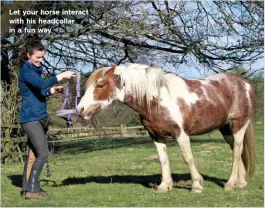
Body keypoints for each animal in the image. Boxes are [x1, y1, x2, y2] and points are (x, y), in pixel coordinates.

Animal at [76, 63, 254, 193]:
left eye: (100, 85)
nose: (80, 110)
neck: (157, 99)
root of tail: (245, 83)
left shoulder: (181, 134)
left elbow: (188, 158)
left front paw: (197, 185)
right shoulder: (156, 136)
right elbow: (163, 160)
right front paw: (164, 186)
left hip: (238, 126)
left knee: (236, 151)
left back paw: (230, 184)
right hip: (226, 130)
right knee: (237, 150)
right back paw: (241, 182)